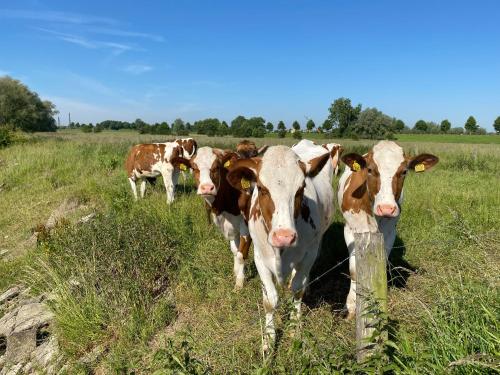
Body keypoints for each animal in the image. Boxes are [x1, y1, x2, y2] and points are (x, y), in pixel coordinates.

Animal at [227, 145, 336, 352]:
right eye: (261, 188)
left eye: (301, 189)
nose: (284, 236)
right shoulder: (260, 257)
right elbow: (270, 300)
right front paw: (269, 339)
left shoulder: (309, 254)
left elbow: (297, 290)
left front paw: (295, 327)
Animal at [336, 141, 438, 320]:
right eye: (370, 169)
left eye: (404, 171)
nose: (386, 208)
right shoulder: (350, 230)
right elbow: (354, 270)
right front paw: (351, 307)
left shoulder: (389, 233)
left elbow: (381, 265)